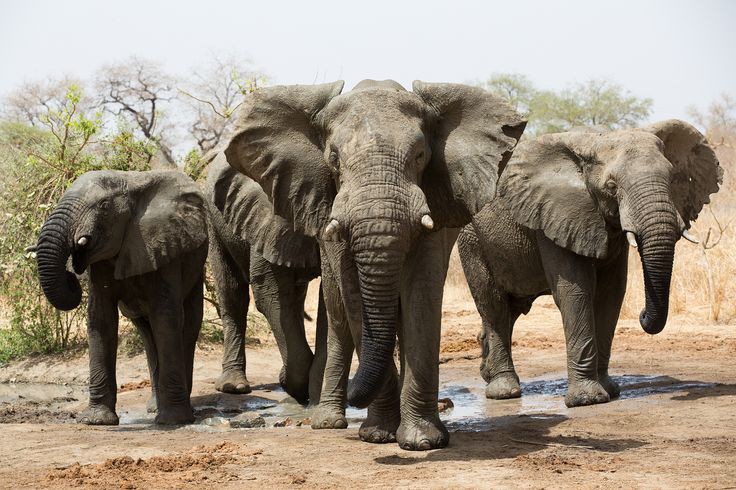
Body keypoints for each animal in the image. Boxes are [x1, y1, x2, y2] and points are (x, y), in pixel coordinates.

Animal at [35, 169, 208, 424]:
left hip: (197, 266)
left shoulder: (164, 245)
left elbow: (166, 318)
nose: (72, 272)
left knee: (187, 324)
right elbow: (101, 319)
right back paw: (154, 407)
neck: (129, 181)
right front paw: (97, 420)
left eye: (104, 206)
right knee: (147, 335)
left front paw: (173, 421)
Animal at [203, 155, 326, 404]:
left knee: (295, 299)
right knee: (232, 295)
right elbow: (269, 293)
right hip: (214, 222)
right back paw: (234, 387)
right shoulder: (268, 214)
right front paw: (291, 384)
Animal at [223, 78, 524, 450]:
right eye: (333, 158)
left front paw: (422, 441)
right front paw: (378, 435)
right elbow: (354, 299)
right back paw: (327, 421)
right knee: (339, 319)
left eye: (420, 156)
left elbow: (421, 296)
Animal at [458, 120, 720, 408]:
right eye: (612, 186)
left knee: (510, 309)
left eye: (673, 178)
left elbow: (611, 293)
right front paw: (587, 399)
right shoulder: (555, 214)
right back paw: (503, 390)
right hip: (472, 241)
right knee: (493, 304)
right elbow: (576, 292)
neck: (596, 141)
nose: (642, 314)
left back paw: (487, 374)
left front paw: (610, 390)